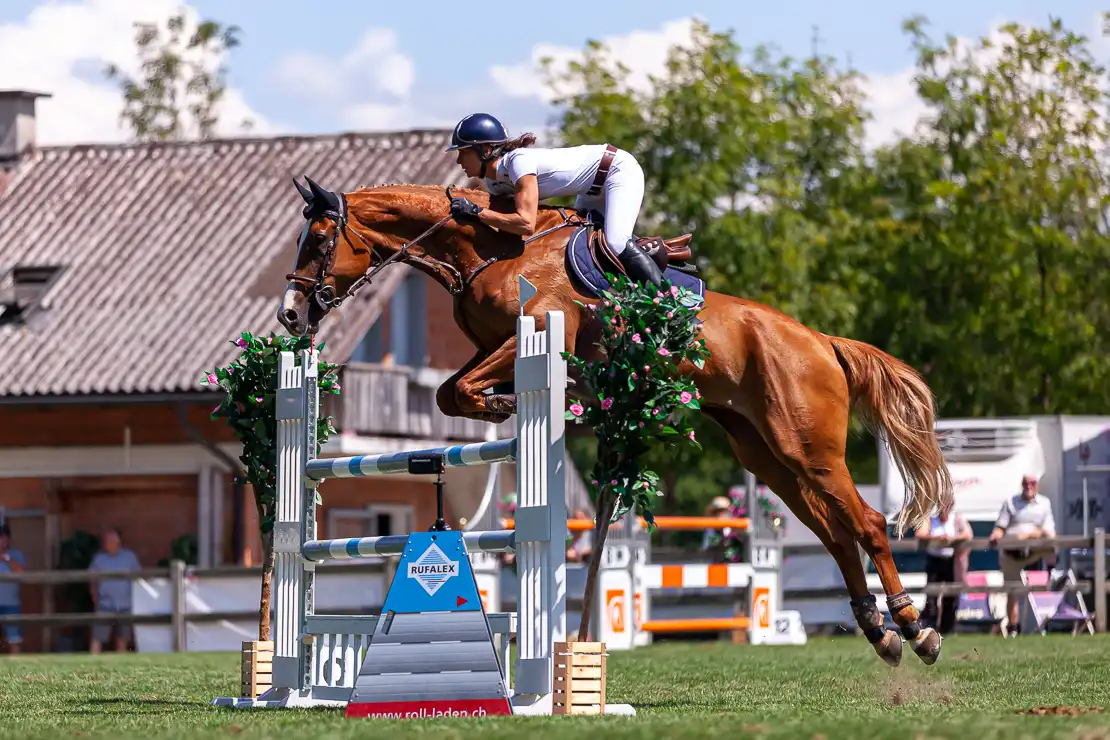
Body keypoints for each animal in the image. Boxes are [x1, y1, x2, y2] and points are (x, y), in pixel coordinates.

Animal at [277, 176, 954, 670]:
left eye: (318, 240)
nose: (290, 316)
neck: (490, 250)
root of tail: (820, 341)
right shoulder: (491, 347)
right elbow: (449, 390)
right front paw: (503, 407)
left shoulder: (539, 330)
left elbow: (458, 389)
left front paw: (508, 406)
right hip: (768, 454)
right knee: (835, 534)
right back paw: (879, 631)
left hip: (809, 449)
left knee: (866, 523)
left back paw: (914, 629)